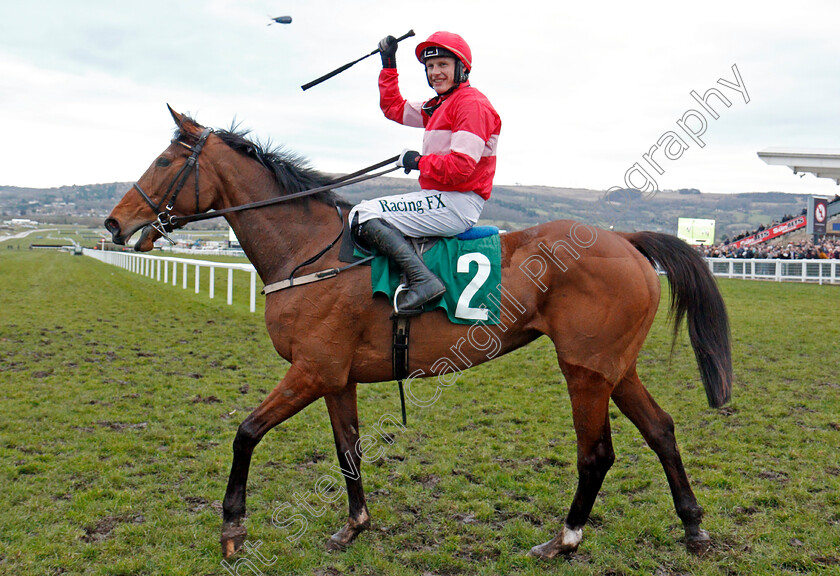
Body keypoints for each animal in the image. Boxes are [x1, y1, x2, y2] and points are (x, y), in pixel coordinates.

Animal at [105, 107, 732, 560]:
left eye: (165, 160)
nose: (114, 222)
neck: (311, 253)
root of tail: (624, 239)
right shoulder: (337, 378)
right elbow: (348, 450)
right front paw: (353, 526)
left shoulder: (310, 370)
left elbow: (245, 433)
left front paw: (233, 528)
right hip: (614, 367)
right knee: (661, 430)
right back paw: (694, 529)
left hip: (585, 370)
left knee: (596, 453)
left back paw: (565, 539)